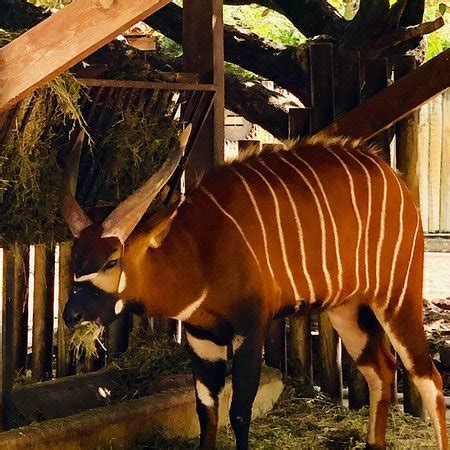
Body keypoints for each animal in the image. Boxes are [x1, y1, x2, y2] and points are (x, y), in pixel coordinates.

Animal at [62, 128, 446, 448]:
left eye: (111, 261)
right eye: (73, 259)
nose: (70, 315)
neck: (198, 250)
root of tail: (395, 178)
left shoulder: (250, 330)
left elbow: (239, 413)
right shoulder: (202, 339)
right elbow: (207, 412)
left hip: (397, 299)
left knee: (428, 377)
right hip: (346, 311)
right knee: (381, 370)